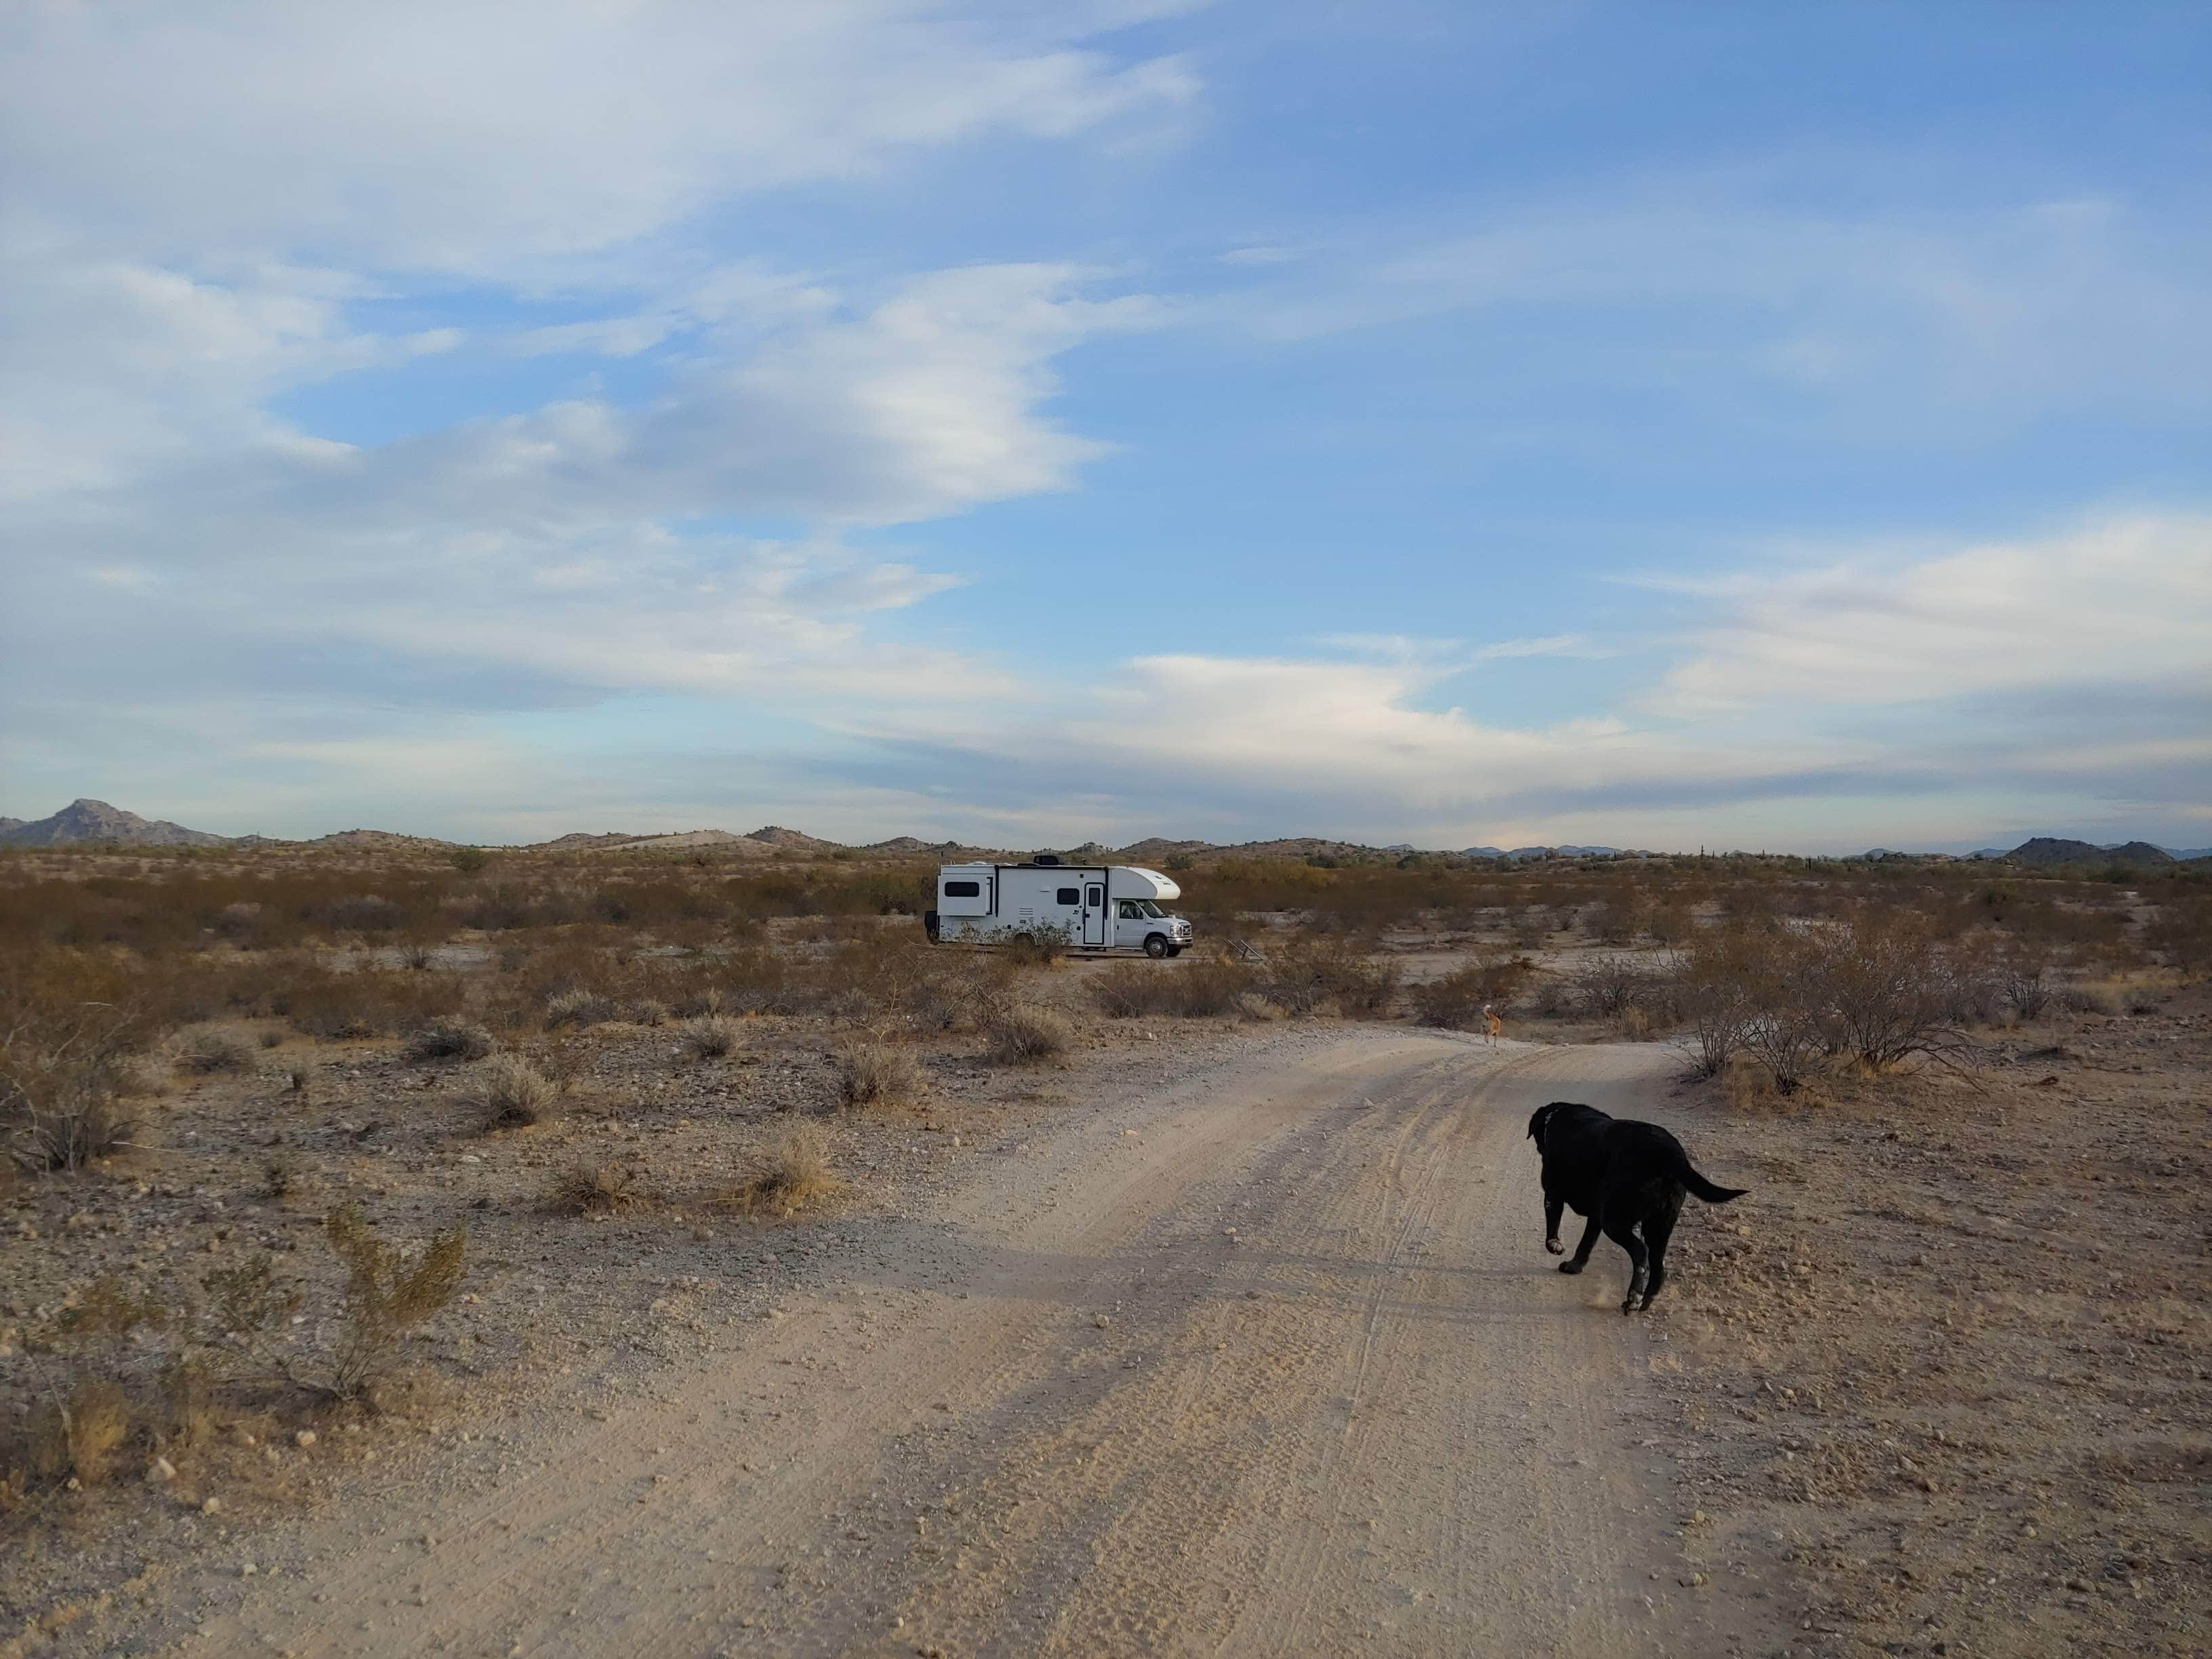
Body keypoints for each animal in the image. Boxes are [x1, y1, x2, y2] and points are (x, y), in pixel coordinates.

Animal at [1521, 1110, 1743, 1318]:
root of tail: (1669, 1154)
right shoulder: (1596, 1216)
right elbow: (1586, 1243)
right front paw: (1574, 1266)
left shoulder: (1553, 1195)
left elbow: (1553, 1229)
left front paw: (1555, 1246)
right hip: (1659, 1227)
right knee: (1657, 1267)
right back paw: (1644, 1302)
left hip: (1615, 1221)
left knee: (1640, 1253)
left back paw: (1634, 1298)